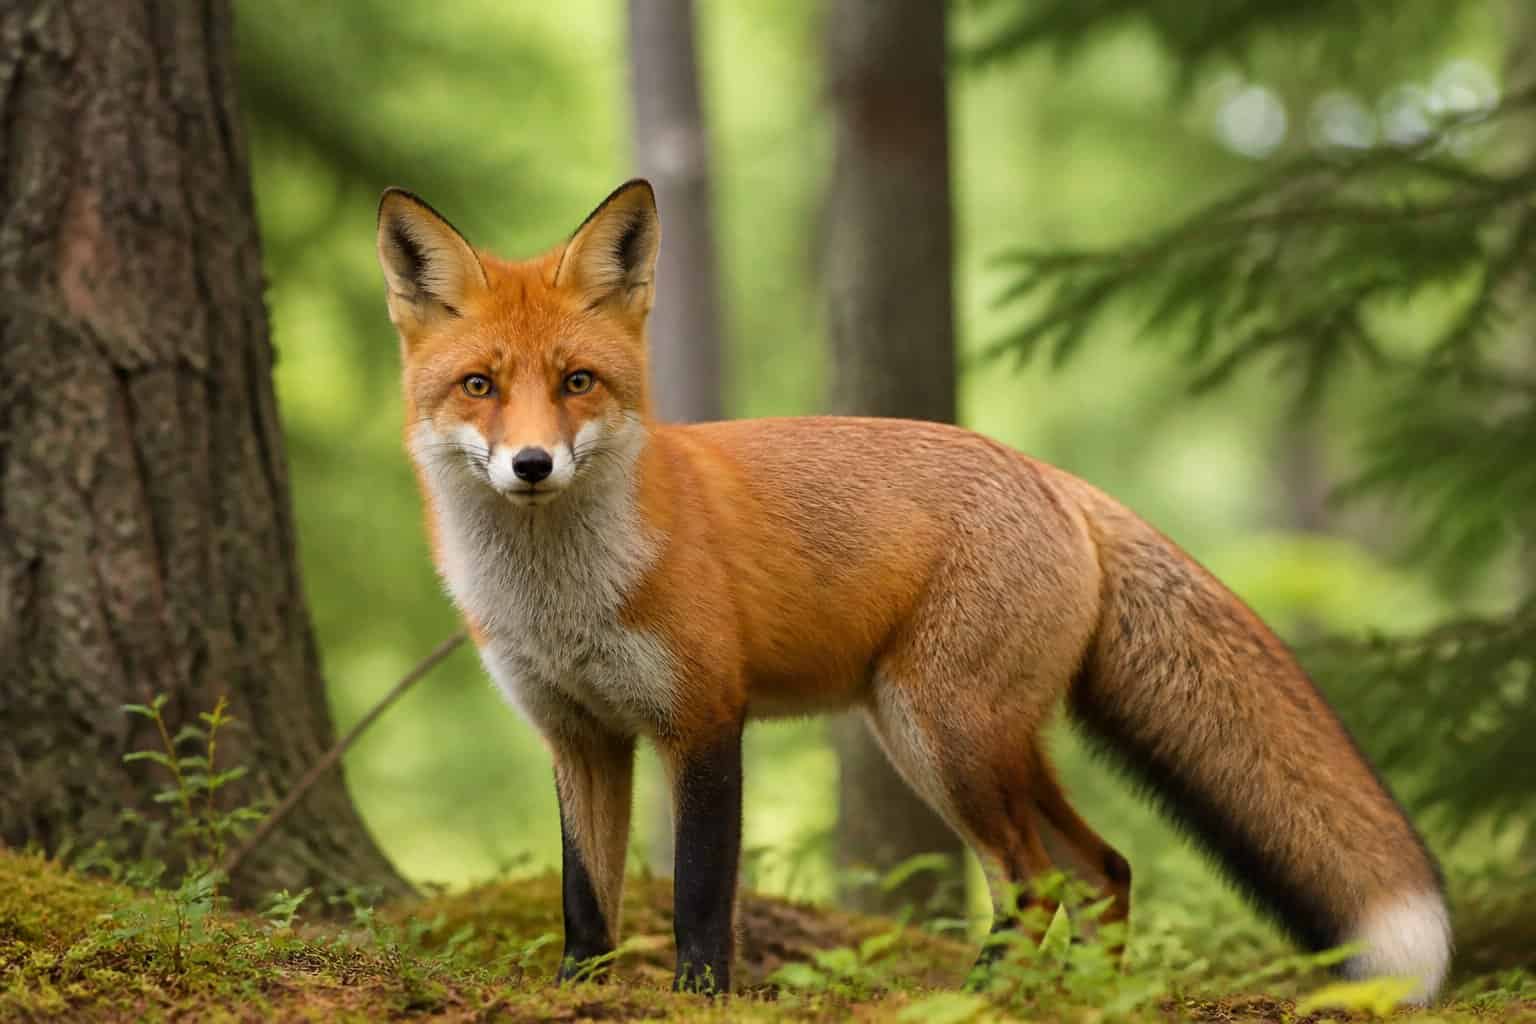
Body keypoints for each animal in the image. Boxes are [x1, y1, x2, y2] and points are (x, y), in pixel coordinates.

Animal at [374, 179, 1451, 1000]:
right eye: (479, 385)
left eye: (578, 382)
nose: (531, 464)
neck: (561, 599)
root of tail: (1050, 477)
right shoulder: (580, 735)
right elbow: (584, 898)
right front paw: (581, 992)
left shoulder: (706, 719)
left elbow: (700, 896)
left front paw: (699, 999)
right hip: (966, 740)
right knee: (1102, 867)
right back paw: (1085, 999)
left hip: (942, 734)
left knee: (1033, 881)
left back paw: (978, 998)